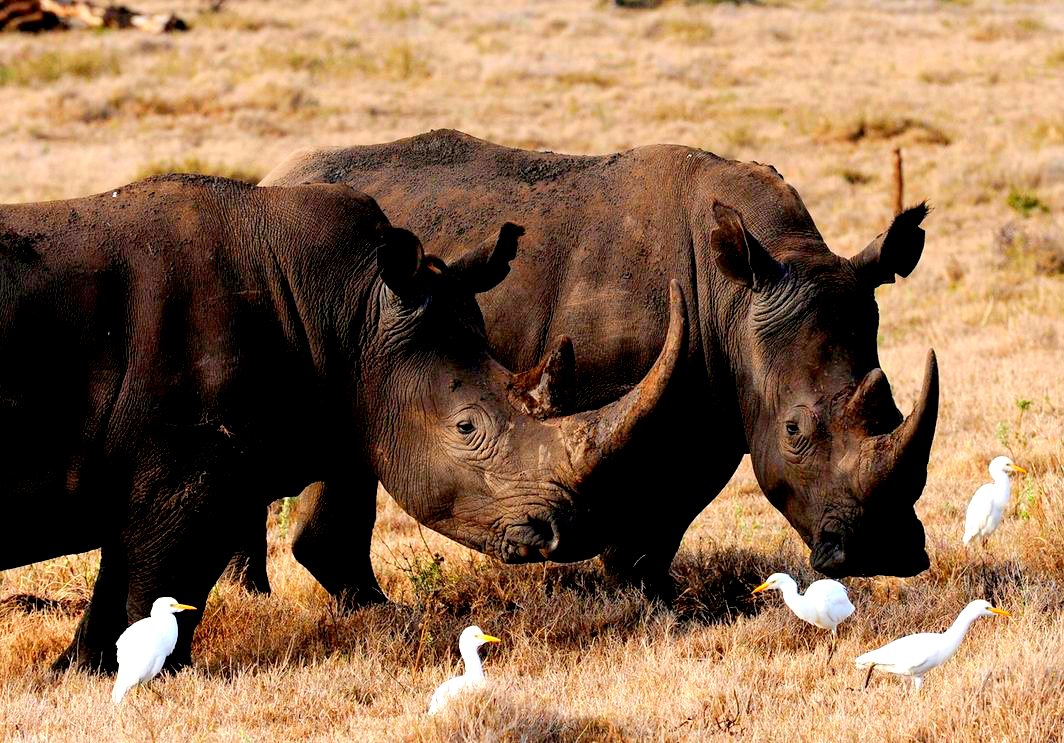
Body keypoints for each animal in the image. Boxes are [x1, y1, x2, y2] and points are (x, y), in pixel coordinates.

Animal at [0, 174, 684, 671]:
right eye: (466, 428)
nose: (574, 531)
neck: (347, 311)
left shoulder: (152, 472)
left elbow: (120, 582)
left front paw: (79, 673)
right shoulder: (188, 474)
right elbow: (161, 586)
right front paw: (157, 677)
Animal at [256, 130, 940, 601]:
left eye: (894, 407)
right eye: (795, 430)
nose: (883, 552)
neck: (738, 295)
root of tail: (278, 174)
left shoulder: (715, 402)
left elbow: (667, 513)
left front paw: (659, 596)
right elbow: (635, 507)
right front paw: (650, 604)